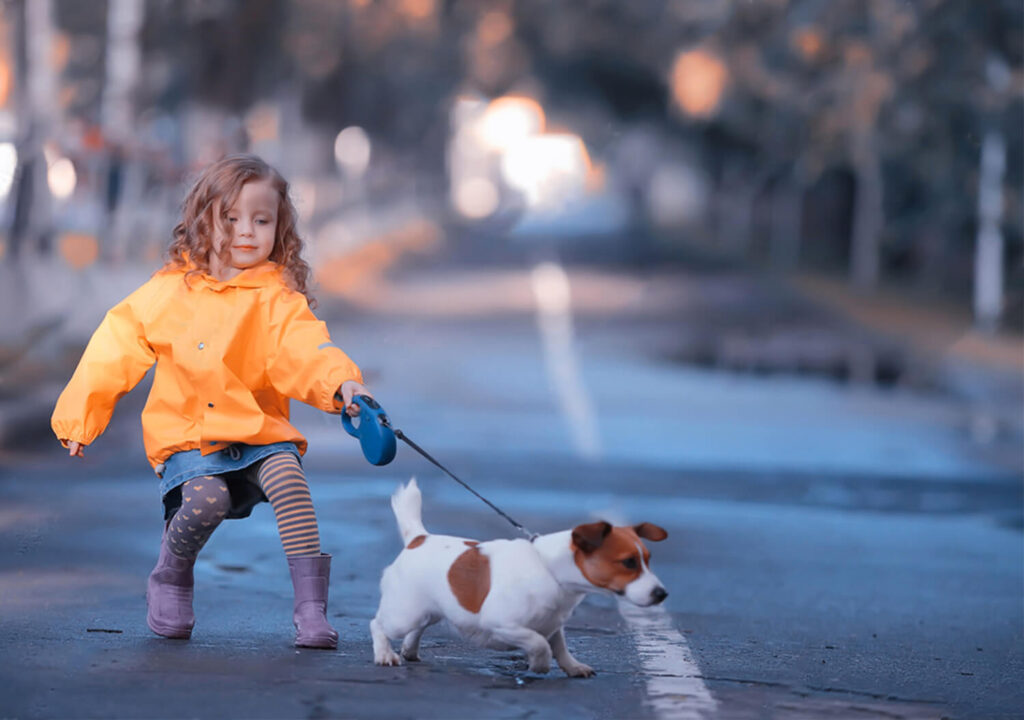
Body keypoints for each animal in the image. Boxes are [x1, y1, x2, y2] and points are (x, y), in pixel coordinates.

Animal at [372, 481, 667, 680]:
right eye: (629, 562)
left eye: (648, 559)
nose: (662, 594)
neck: (549, 569)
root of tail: (418, 538)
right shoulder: (502, 624)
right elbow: (539, 643)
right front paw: (539, 664)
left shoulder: (553, 624)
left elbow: (560, 646)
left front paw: (573, 666)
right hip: (404, 614)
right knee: (379, 624)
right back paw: (385, 654)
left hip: (429, 611)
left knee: (417, 628)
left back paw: (409, 650)